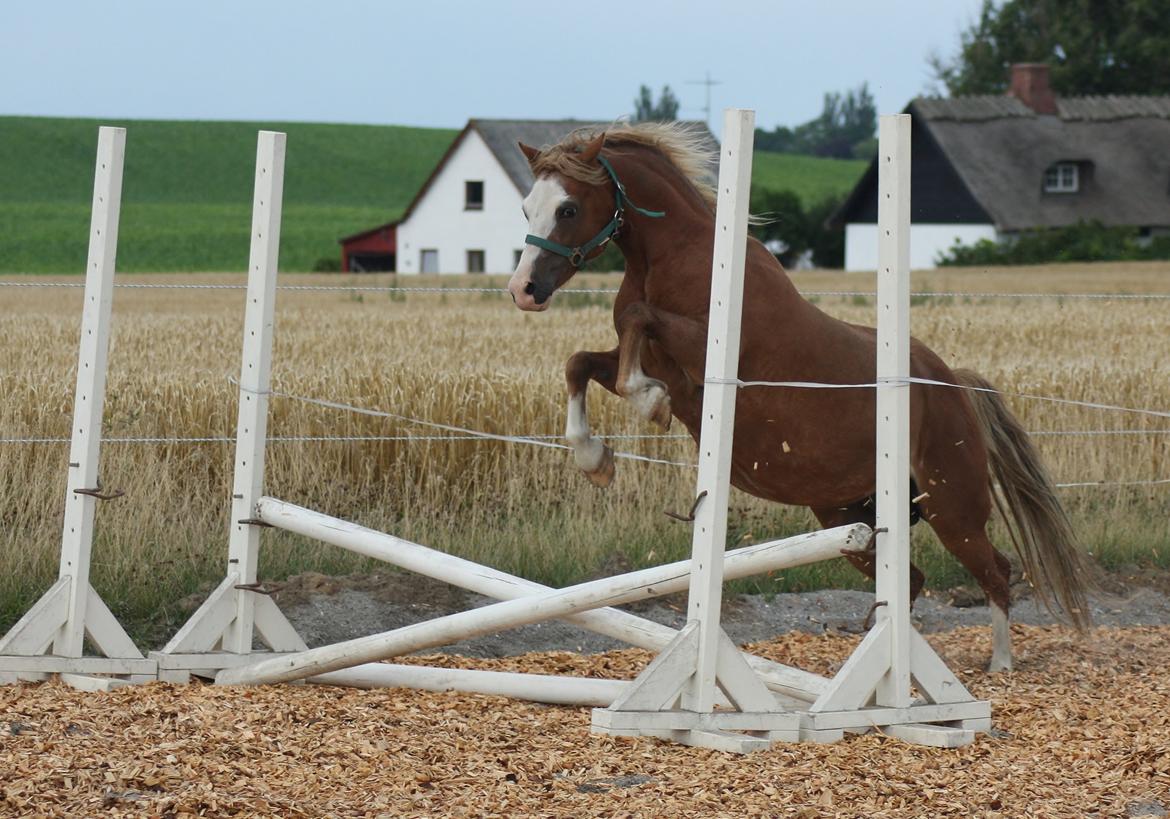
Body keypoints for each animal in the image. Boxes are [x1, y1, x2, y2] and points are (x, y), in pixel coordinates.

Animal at [507, 123, 1090, 673]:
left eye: (568, 207)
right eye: (526, 208)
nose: (524, 291)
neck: (672, 258)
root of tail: (954, 386)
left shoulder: (705, 359)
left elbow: (637, 321)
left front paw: (649, 404)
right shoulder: (648, 360)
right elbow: (581, 361)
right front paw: (594, 459)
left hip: (951, 506)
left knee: (995, 570)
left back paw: (999, 663)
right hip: (845, 516)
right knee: (910, 579)